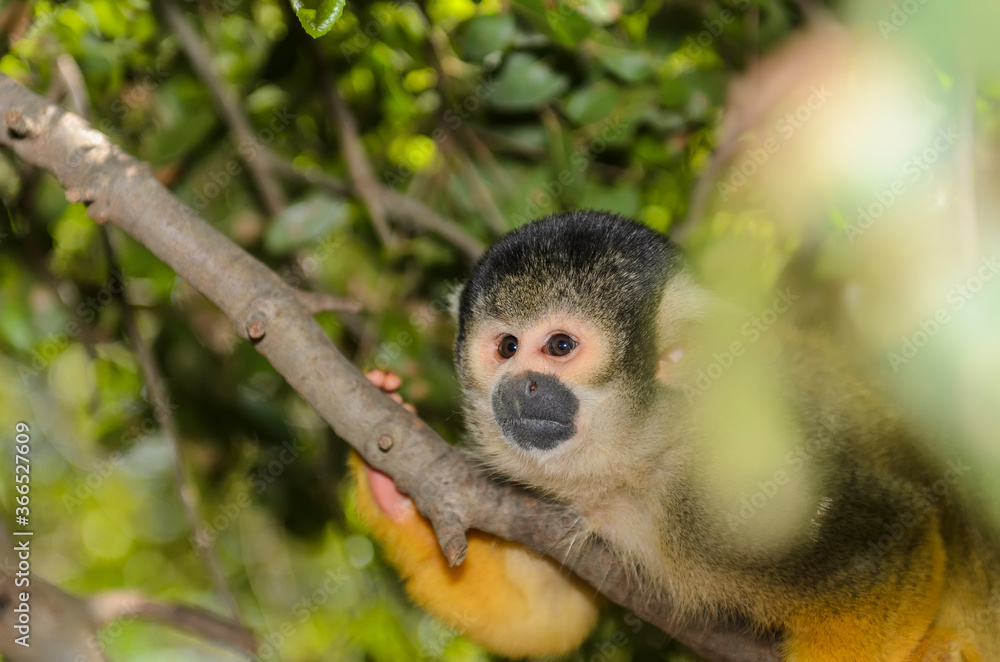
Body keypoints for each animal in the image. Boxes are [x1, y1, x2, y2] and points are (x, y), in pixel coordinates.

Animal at [352, 210, 1000, 660]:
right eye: (507, 347)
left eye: (559, 346)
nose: (520, 385)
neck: (651, 457)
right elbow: (548, 616)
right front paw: (391, 488)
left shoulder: (740, 488)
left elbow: (891, 543)